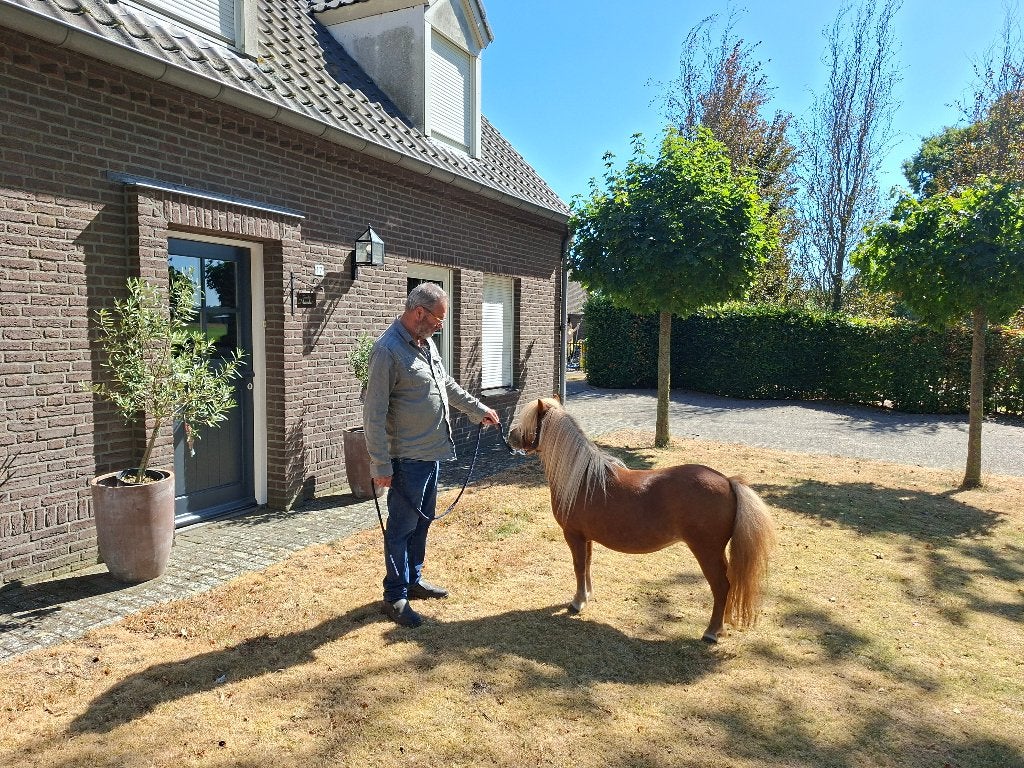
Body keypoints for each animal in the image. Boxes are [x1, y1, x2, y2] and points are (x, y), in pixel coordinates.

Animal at [507, 397, 776, 643]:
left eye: (529, 420)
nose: (510, 436)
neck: (582, 478)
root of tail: (729, 481)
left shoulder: (573, 535)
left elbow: (578, 566)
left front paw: (577, 602)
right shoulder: (587, 537)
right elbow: (587, 564)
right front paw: (588, 595)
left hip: (707, 552)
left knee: (721, 587)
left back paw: (711, 632)